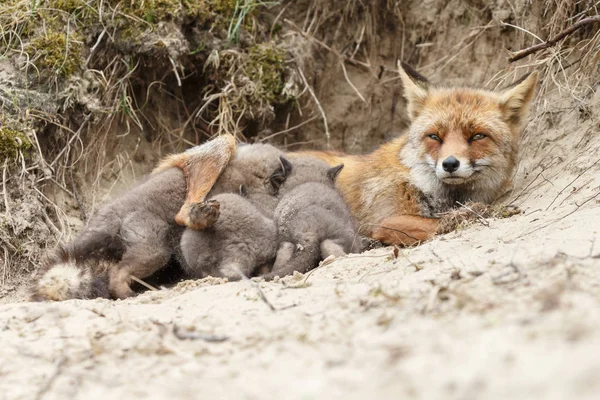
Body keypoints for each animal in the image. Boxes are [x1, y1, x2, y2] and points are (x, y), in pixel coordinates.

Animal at [161, 61, 540, 247]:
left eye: (477, 136)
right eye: (435, 136)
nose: (449, 164)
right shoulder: (385, 218)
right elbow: (444, 221)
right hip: (225, 142)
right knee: (182, 215)